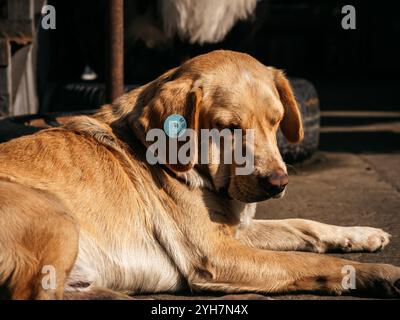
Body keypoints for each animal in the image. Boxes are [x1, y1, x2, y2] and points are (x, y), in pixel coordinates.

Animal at [0, 50, 400, 300]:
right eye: (229, 128)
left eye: (276, 121)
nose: (278, 183)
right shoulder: (216, 253)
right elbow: (312, 262)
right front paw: (380, 274)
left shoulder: (237, 230)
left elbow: (304, 225)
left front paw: (361, 235)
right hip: (56, 216)